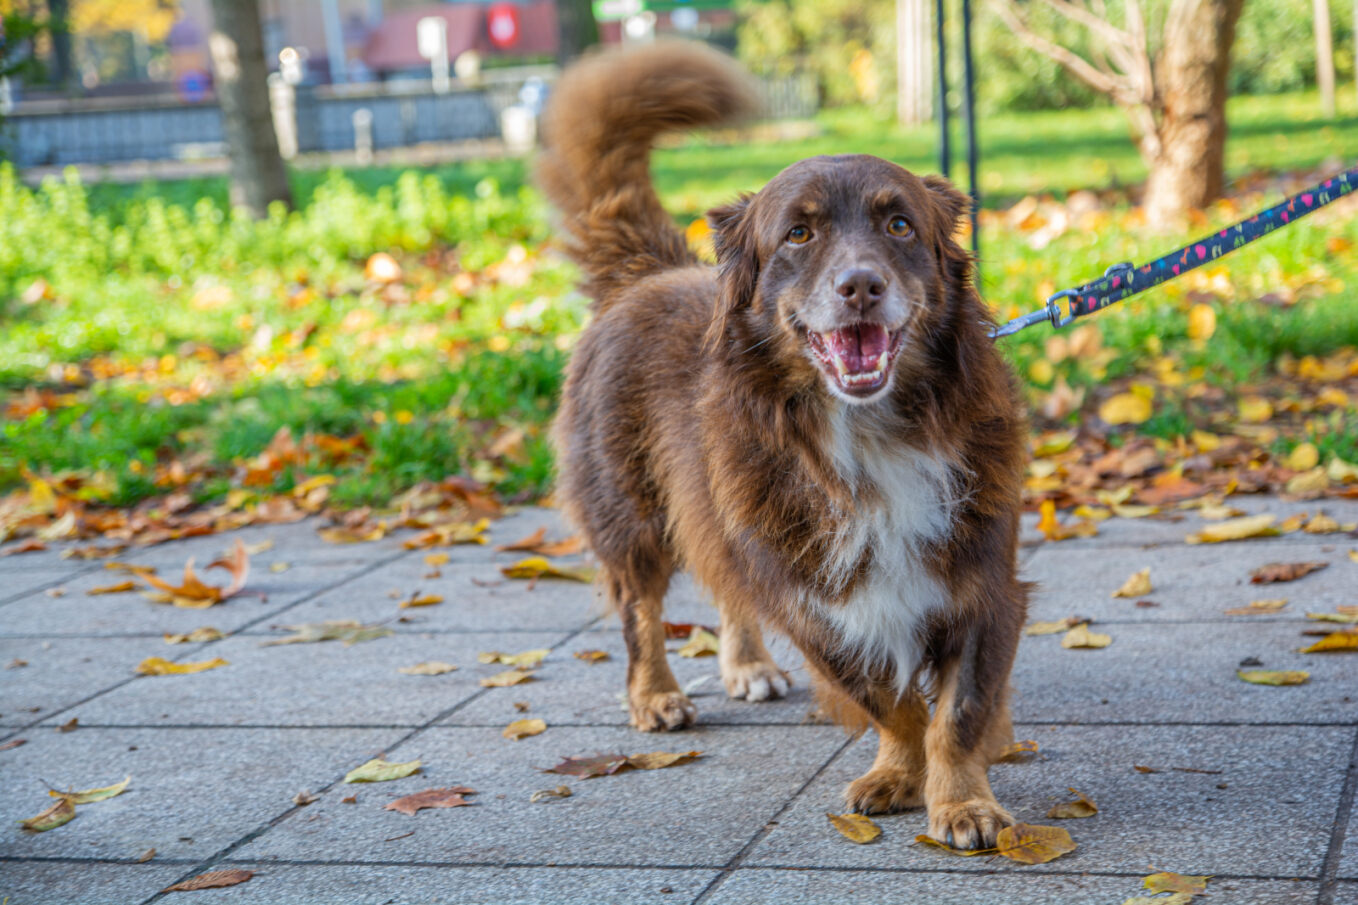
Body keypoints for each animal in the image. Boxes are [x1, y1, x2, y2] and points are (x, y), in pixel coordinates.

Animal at [535, 42, 1021, 847]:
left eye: (899, 225)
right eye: (799, 234)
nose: (860, 286)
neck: (869, 433)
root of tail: (647, 271)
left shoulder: (983, 584)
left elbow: (958, 712)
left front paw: (961, 800)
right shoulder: (818, 603)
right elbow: (893, 704)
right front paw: (902, 773)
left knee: (727, 584)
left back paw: (746, 665)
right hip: (636, 517)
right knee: (639, 608)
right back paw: (655, 694)